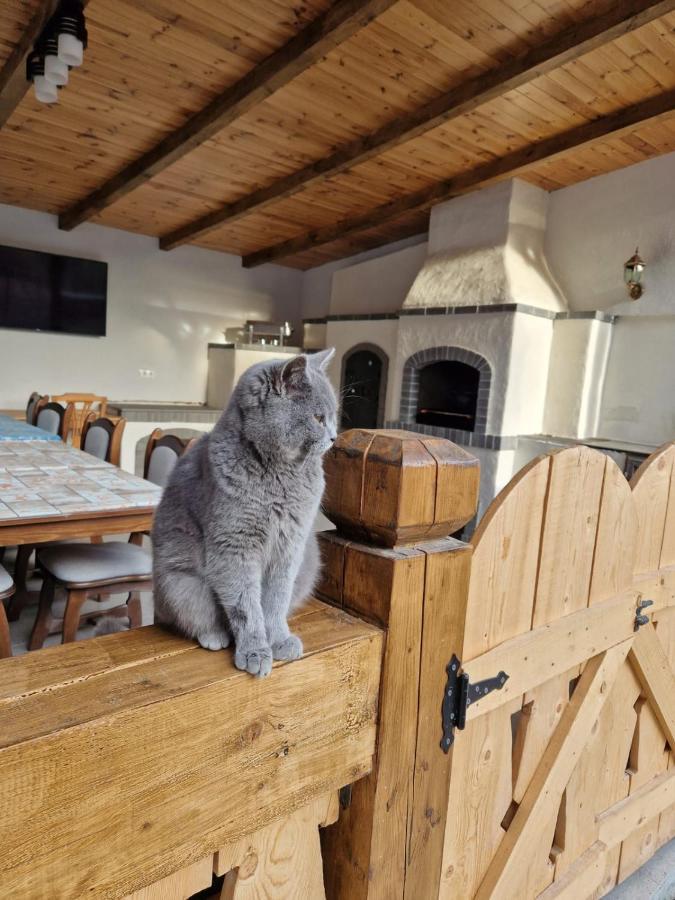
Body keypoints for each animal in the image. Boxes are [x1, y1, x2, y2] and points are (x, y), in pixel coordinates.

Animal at [152, 348, 338, 680]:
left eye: (334, 416)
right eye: (318, 418)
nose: (334, 437)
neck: (280, 475)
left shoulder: (290, 546)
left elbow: (275, 600)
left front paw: (279, 640)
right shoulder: (235, 546)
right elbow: (245, 606)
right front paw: (255, 651)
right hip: (179, 582)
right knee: (195, 616)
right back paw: (214, 635)